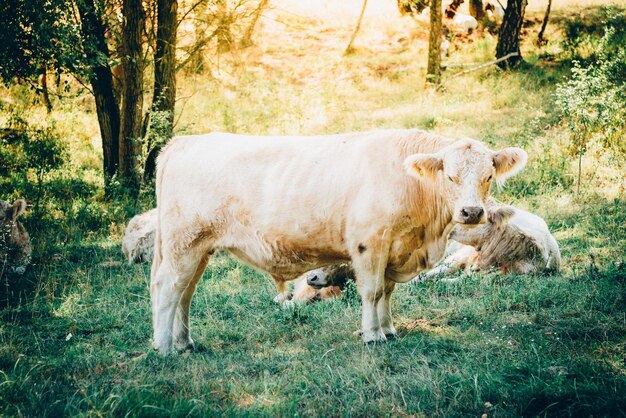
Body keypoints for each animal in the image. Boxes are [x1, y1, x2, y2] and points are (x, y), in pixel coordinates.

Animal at [151, 127, 528, 352]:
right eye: (450, 176)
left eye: (488, 175)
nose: (471, 211)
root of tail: (182, 142)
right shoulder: (369, 244)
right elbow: (372, 291)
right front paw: (372, 335)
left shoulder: (392, 249)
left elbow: (386, 292)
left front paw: (389, 330)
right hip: (182, 243)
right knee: (168, 288)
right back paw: (164, 347)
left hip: (198, 249)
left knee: (185, 293)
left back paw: (184, 342)